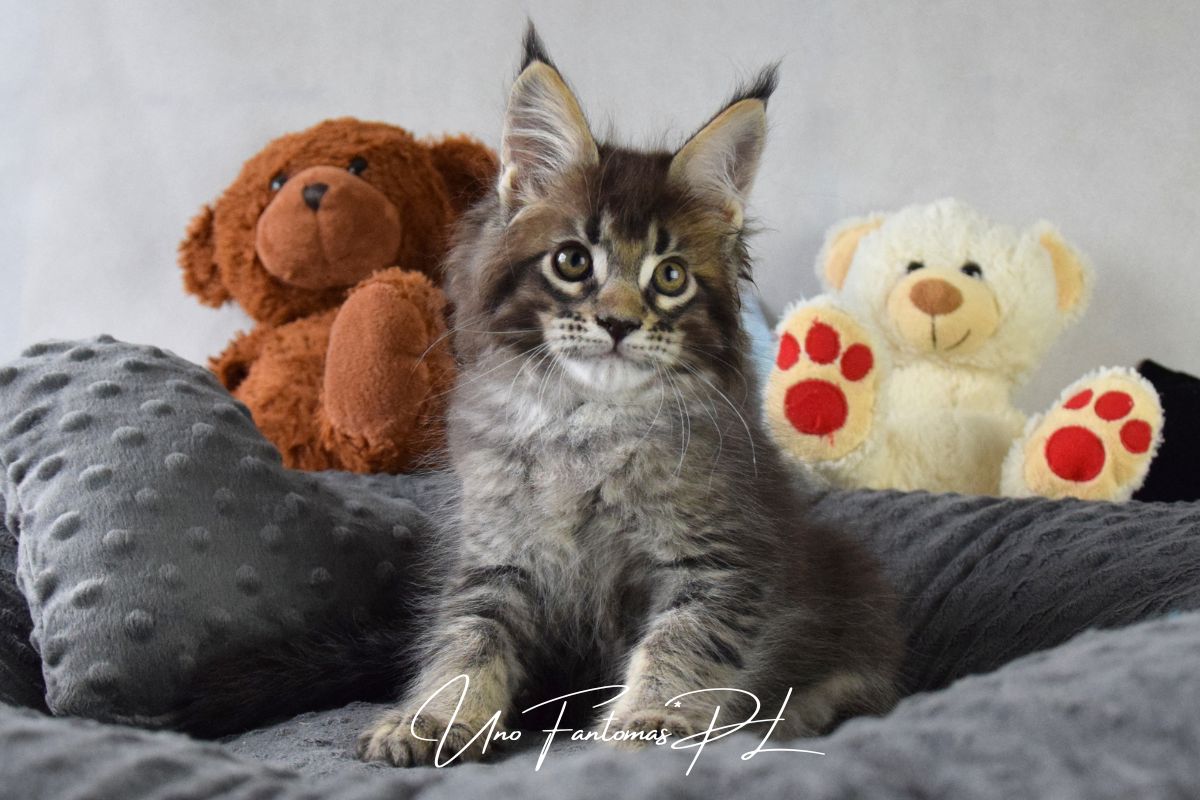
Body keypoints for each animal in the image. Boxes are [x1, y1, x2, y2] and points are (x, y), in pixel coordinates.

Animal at [356, 26, 903, 767]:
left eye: (669, 276)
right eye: (572, 261)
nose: (618, 322)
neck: (585, 426)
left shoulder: (717, 560)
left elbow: (679, 645)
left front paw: (647, 723)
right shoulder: (495, 558)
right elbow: (465, 645)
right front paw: (429, 720)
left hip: (846, 578)